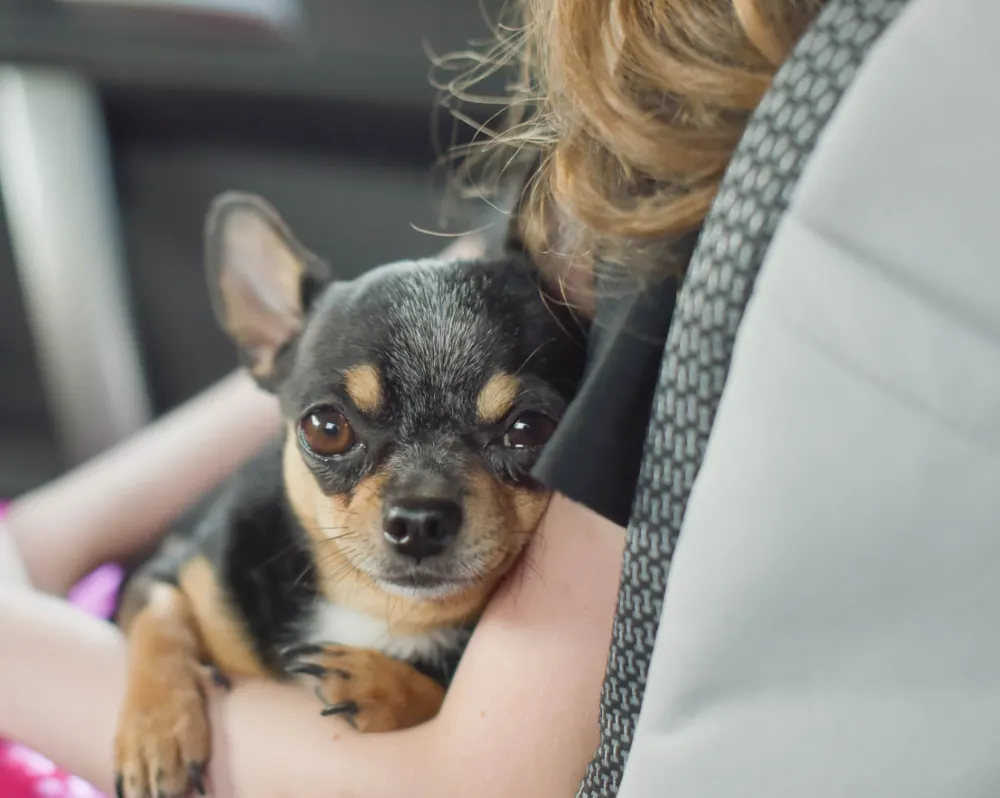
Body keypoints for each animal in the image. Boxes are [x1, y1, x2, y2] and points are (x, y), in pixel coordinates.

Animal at [111, 194, 584, 798]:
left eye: (529, 430)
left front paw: (384, 685)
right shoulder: (163, 573)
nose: (420, 520)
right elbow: (160, 616)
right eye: (326, 429)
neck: (376, 608)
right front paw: (157, 732)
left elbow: (440, 697)